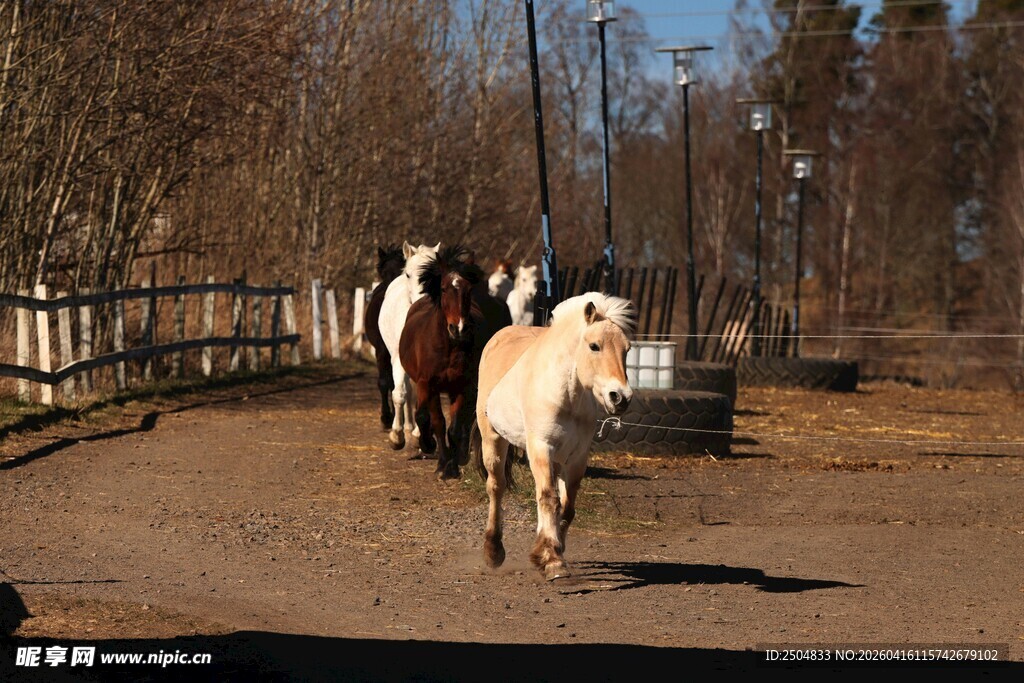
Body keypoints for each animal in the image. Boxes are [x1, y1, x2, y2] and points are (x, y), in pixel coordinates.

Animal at [400, 246, 512, 479]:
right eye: (443, 289)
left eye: (468, 290)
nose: (458, 328)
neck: (448, 347)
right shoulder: (427, 384)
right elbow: (431, 420)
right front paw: (434, 451)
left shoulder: (461, 387)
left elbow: (454, 427)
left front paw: (452, 465)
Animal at [474, 292, 635, 579]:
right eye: (594, 346)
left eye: (626, 349)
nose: (621, 397)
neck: (566, 394)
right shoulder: (541, 447)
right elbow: (548, 499)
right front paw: (552, 561)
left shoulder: (576, 457)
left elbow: (565, 506)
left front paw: (550, 550)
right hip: (492, 439)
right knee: (496, 486)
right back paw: (493, 551)